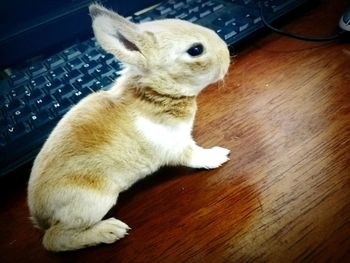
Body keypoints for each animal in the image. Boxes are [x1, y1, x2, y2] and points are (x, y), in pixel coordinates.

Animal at [27, 3, 230, 253]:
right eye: (196, 50)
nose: (226, 53)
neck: (154, 94)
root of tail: (39, 216)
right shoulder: (176, 146)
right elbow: (195, 155)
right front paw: (218, 155)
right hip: (94, 203)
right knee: (55, 240)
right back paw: (110, 230)